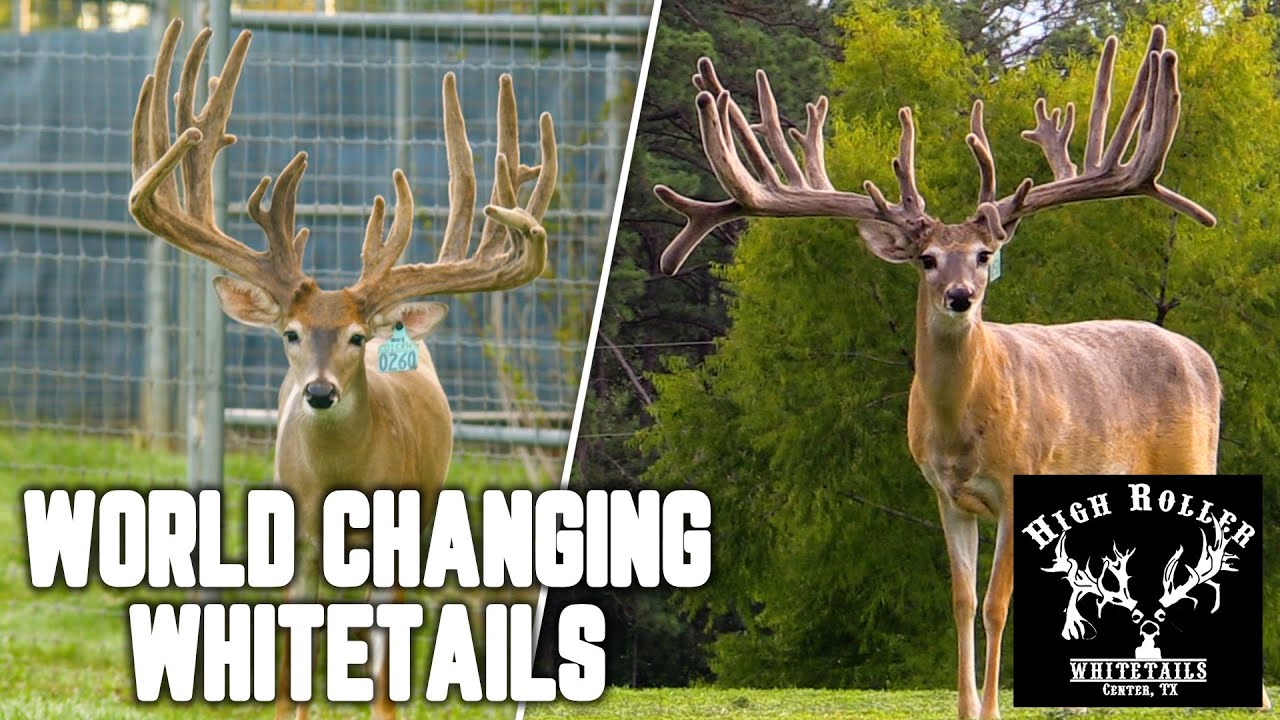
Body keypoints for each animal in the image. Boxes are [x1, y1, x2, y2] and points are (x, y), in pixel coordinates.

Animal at [128, 19, 556, 720]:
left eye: (357, 337)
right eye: (291, 334)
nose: (321, 392)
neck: (339, 490)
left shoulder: (397, 547)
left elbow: (384, 676)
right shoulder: (295, 546)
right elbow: (287, 675)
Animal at [652, 26, 1269, 719]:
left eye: (982, 253)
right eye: (926, 258)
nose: (960, 296)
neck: (963, 425)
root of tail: (1201, 356)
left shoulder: (1020, 481)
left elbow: (999, 604)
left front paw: (994, 707)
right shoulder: (947, 495)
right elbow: (962, 600)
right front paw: (966, 706)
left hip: (1194, 455)